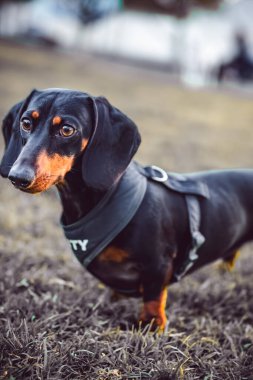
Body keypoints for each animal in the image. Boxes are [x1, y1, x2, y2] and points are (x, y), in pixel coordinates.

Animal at [1, 87, 253, 332]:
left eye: (66, 129)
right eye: (25, 123)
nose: (18, 177)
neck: (103, 200)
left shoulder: (158, 264)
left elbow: (153, 296)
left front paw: (152, 325)